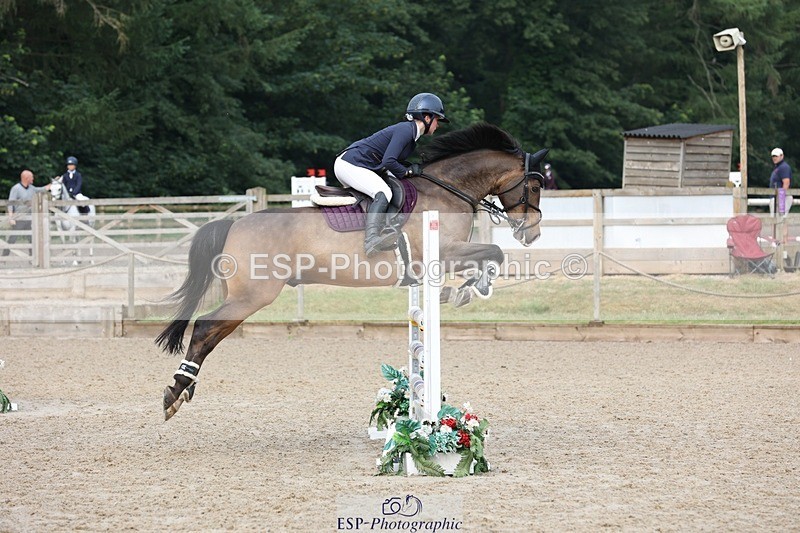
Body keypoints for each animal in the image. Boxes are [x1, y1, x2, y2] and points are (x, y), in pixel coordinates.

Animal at [157, 122, 547, 420]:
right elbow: (494, 252)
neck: (448, 192)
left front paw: (465, 288)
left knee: (211, 333)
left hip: (244, 297)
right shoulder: (443, 253)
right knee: (205, 327)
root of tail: (234, 224)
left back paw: (182, 390)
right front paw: (469, 289)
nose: (532, 233)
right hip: (253, 295)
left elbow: (489, 256)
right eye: (534, 185)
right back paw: (174, 392)